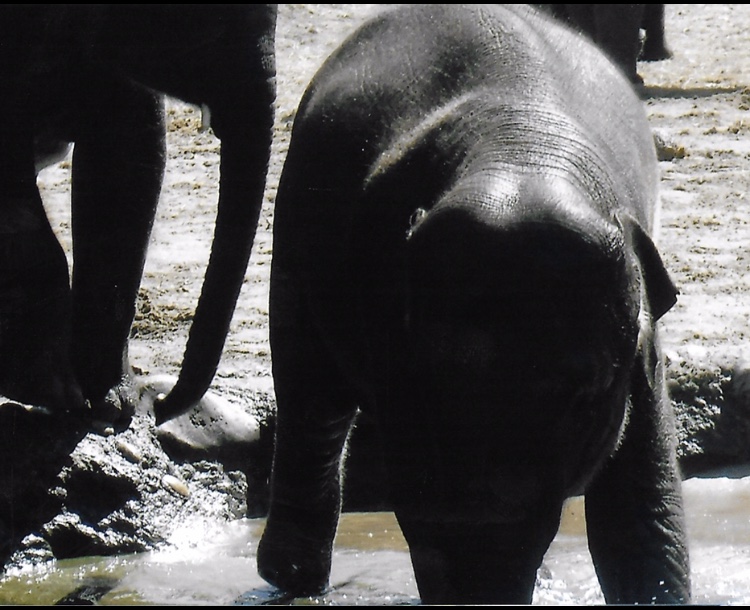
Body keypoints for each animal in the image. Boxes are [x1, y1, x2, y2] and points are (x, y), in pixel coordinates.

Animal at [256, 4, 690, 605]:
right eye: (428, 375)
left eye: (585, 391)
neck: (523, 157)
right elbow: (421, 504)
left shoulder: (639, 334)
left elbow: (639, 503)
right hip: (297, 228)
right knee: (312, 395)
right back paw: (293, 579)